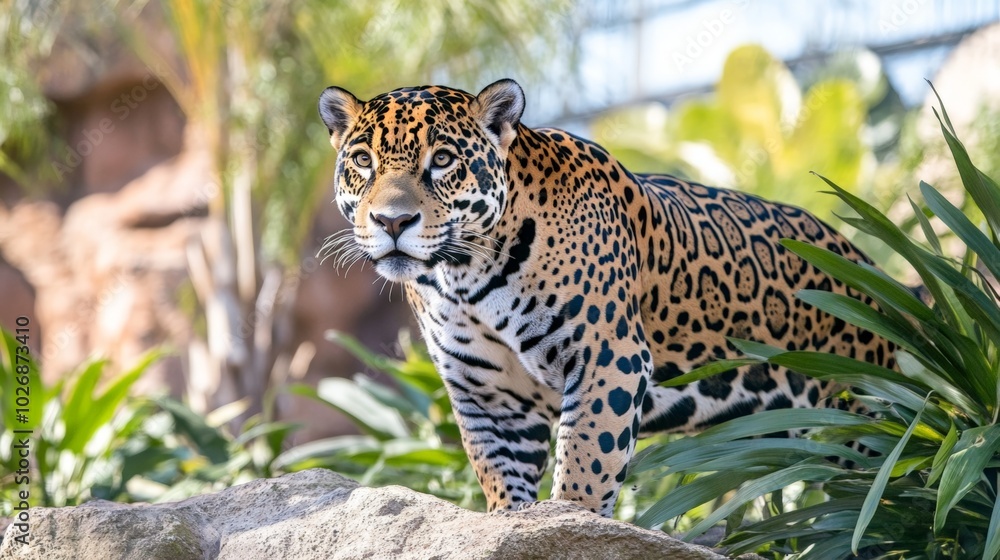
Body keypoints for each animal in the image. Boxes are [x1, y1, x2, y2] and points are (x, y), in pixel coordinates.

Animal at [317, 79, 895, 517]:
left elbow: (587, 461)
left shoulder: (607, 356)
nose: (392, 221)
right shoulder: (487, 392)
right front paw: (510, 520)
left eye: (442, 161)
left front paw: (571, 524)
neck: (464, 278)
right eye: (363, 161)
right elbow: (499, 472)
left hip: (861, 418)